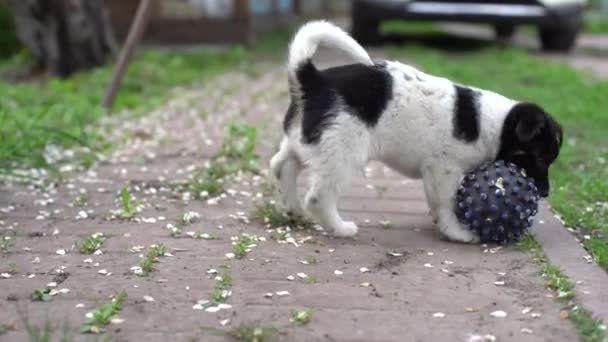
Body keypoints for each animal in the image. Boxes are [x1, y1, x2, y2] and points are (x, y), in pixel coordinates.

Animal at [268, 20, 564, 243]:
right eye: (539, 158)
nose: (545, 193)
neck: (494, 123)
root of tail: (313, 80)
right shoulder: (442, 169)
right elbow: (445, 203)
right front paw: (457, 232)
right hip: (342, 151)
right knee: (319, 195)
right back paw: (339, 228)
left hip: (306, 141)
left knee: (281, 164)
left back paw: (294, 210)